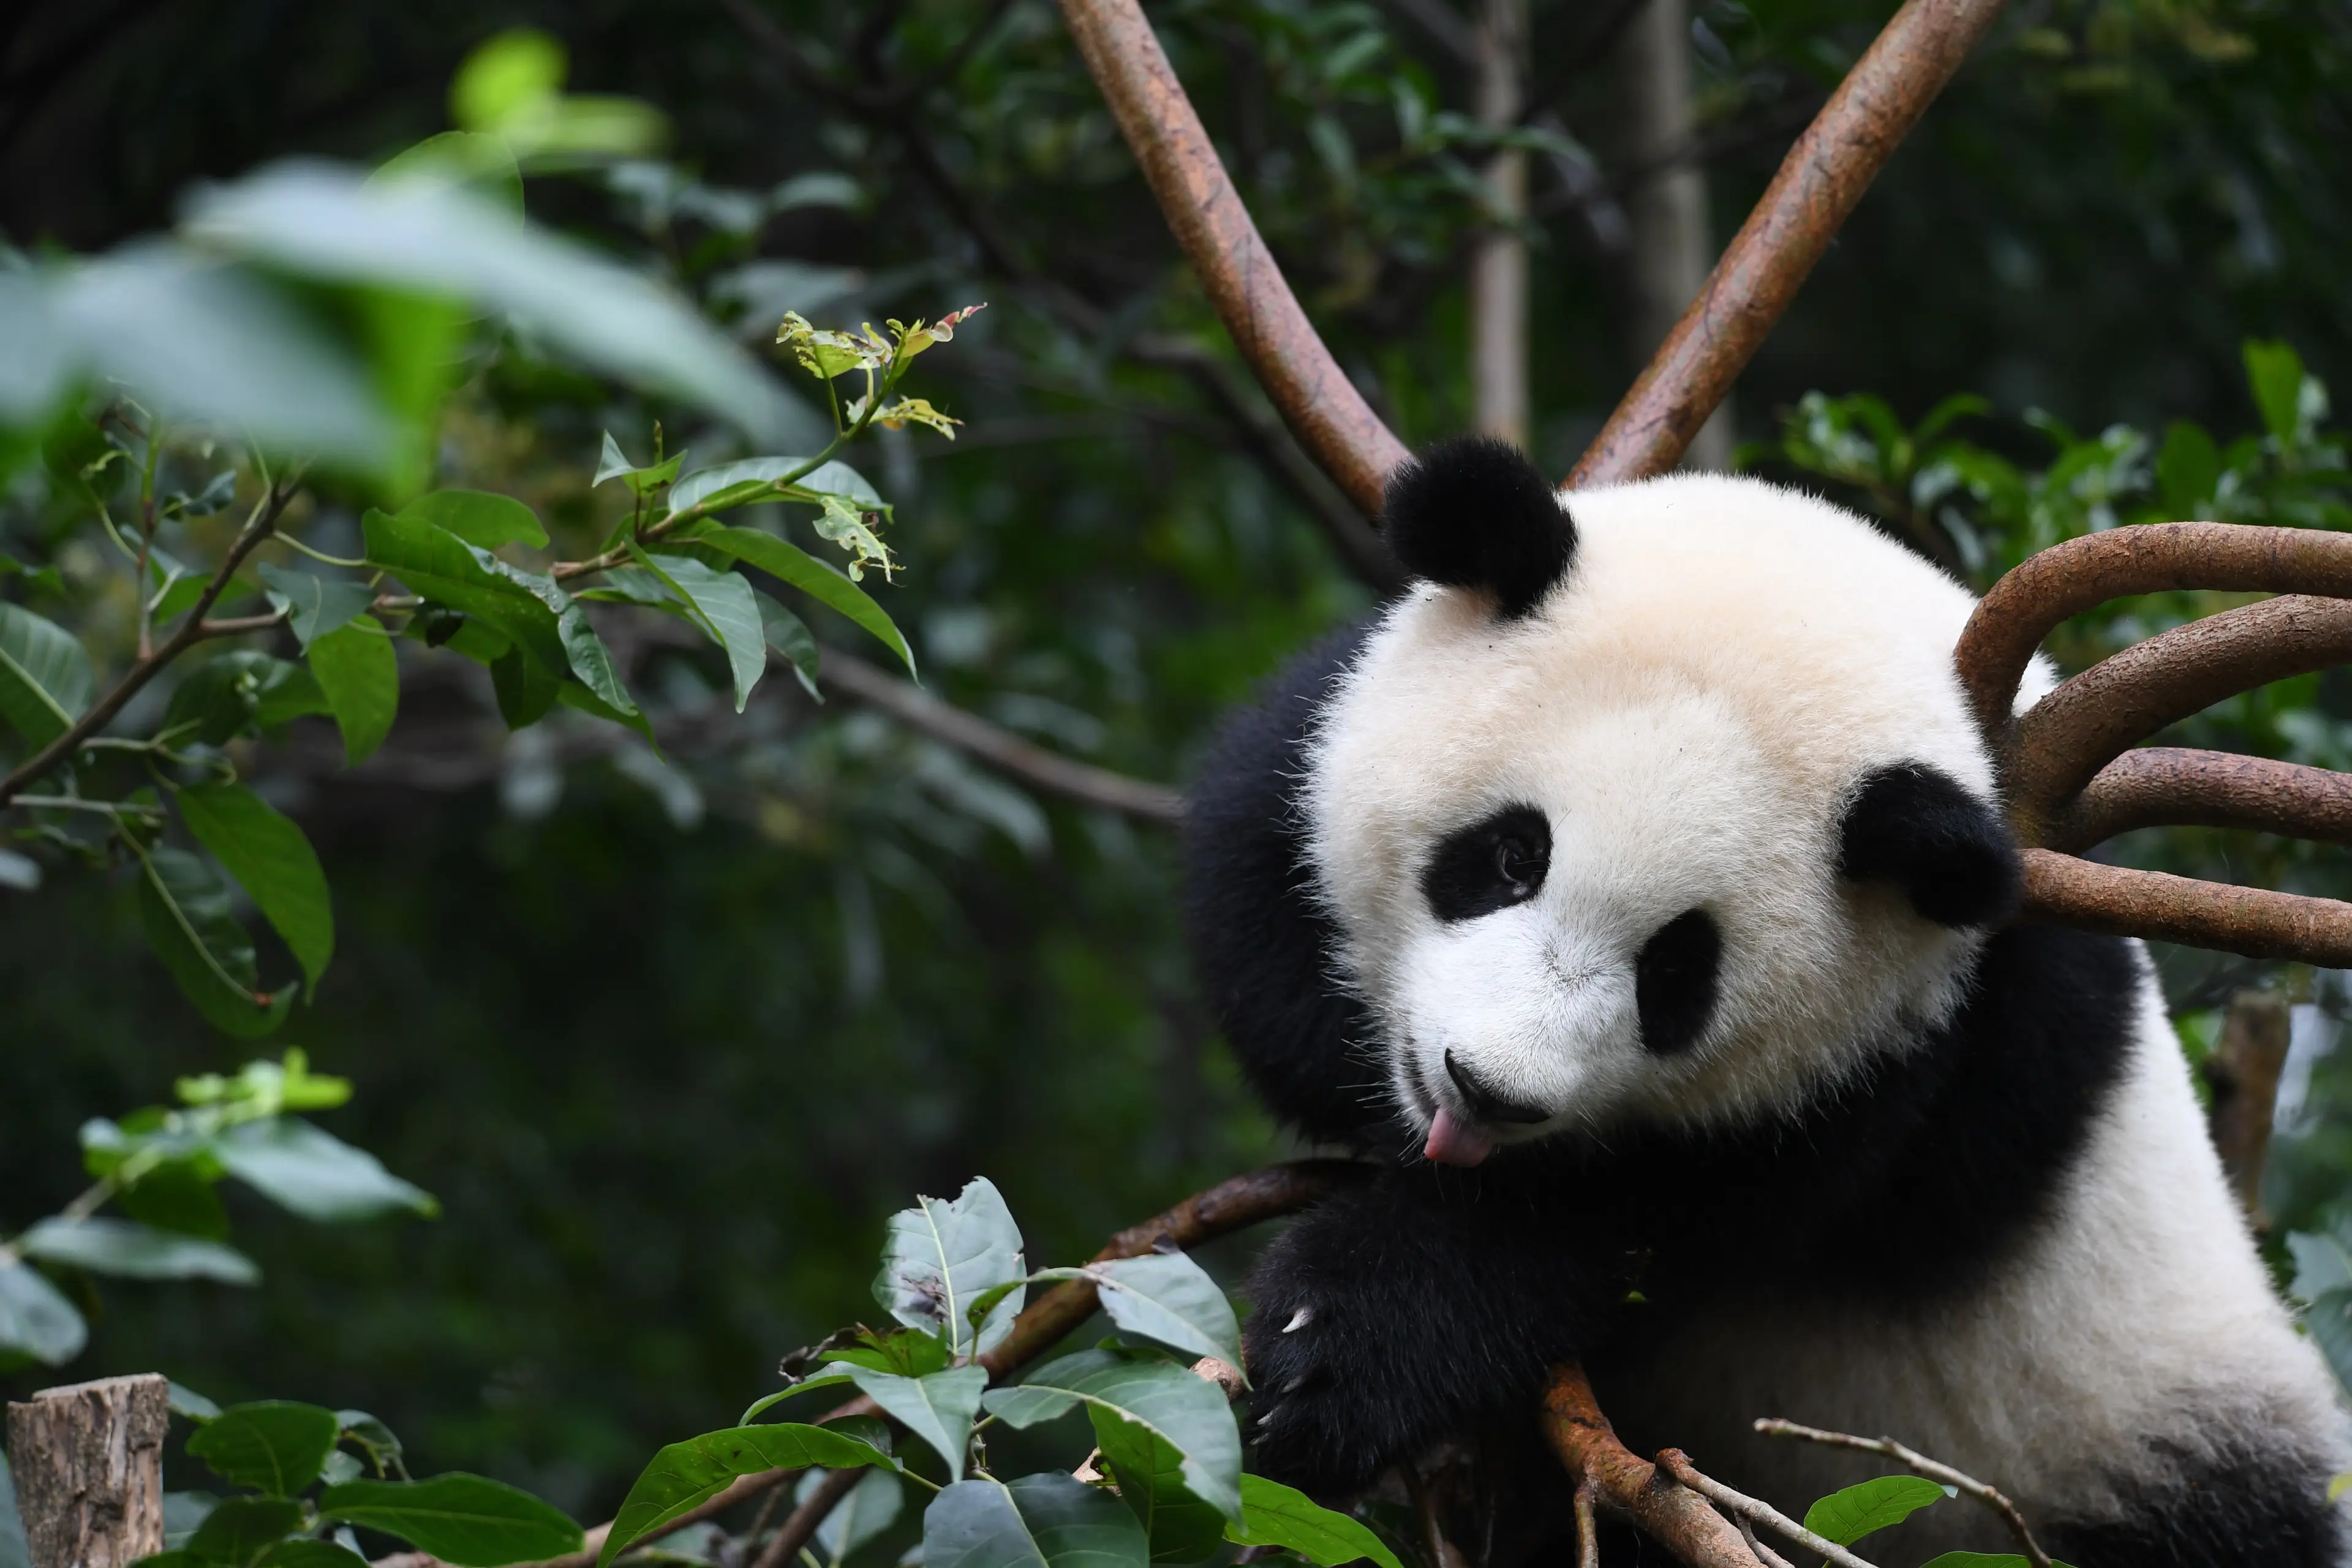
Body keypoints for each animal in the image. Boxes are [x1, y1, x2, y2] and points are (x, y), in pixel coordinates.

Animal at [1185, 437, 2350, 1566]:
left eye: (1676, 976)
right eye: (1511, 856)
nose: (1486, 1090)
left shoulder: (1922, 1060)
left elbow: (1641, 1222)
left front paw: (1337, 1346)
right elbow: (1254, 879)